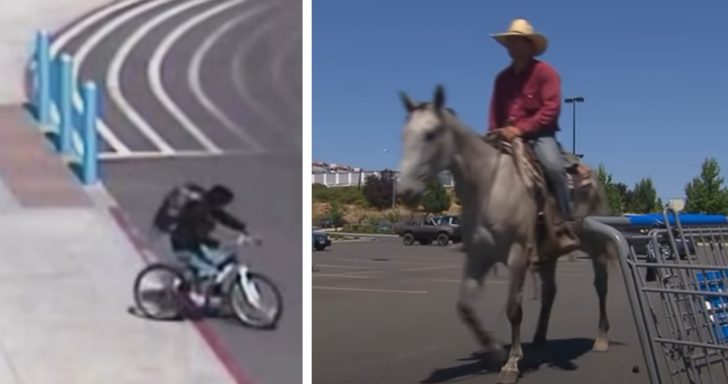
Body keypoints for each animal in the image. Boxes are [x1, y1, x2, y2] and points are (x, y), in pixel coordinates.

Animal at [396, 85, 616, 382]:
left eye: (430, 134)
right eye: (403, 135)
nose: (405, 190)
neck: (489, 187)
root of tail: (592, 177)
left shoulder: (517, 256)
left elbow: (514, 309)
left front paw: (511, 362)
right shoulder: (478, 256)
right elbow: (465, 307)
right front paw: (495, 352)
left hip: (594, 246)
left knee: (600, 284)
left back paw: (601, 338)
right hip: (549, 253)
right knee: (550, 292)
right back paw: (539, 342)